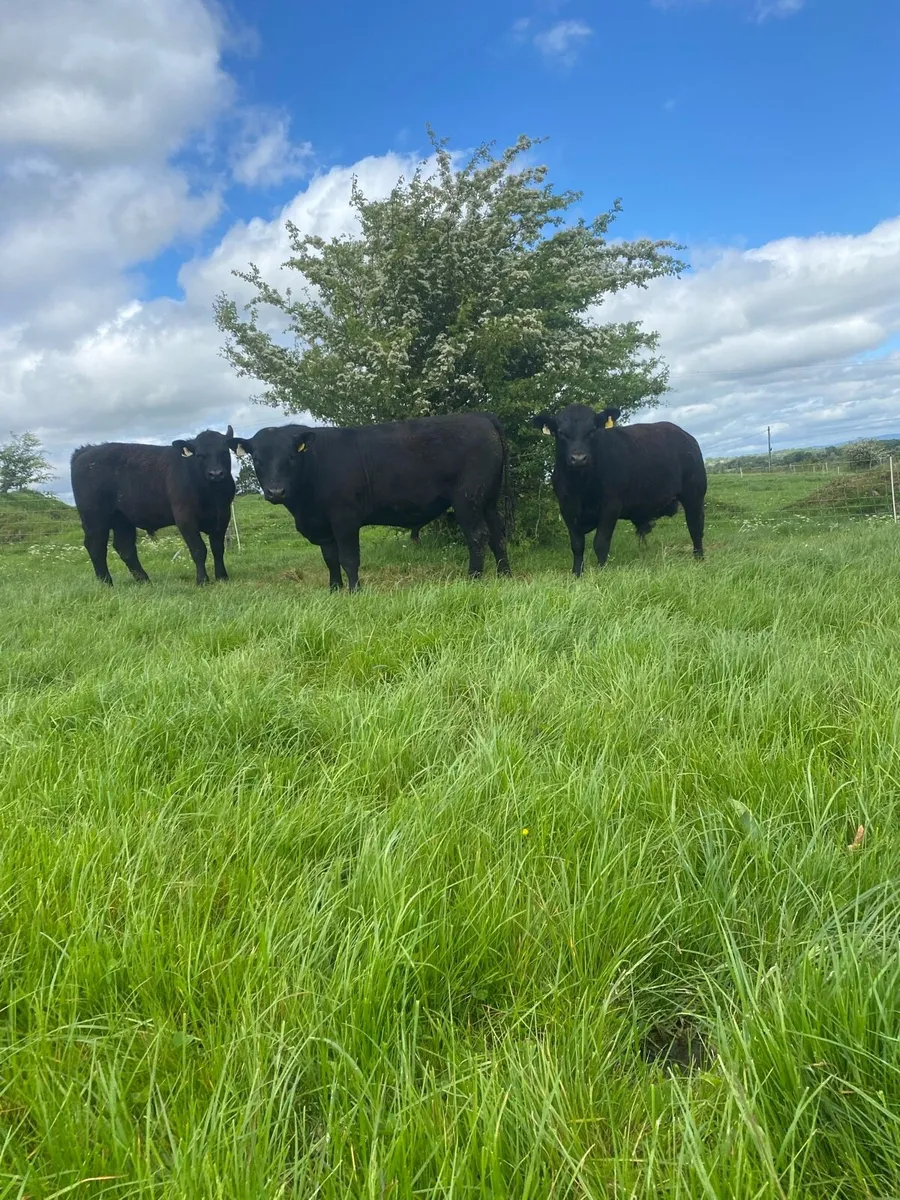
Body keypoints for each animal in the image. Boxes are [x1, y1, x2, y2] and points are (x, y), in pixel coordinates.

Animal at [70, 427, 236, 586]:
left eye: (224, 451)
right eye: (200, 455)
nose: (216, 473)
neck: (212, 495)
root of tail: (86, 450)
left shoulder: (223, 515)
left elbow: (217, 548)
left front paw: (222, 577)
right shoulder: (185, 518)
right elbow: (198, 549)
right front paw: (202, 580)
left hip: (122, 519)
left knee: (125, 547)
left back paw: (144, 580)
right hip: (94, 517)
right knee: (95, 546)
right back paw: (106, 582)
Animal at [230, 413, 512, 592]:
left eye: (290, 456)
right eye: (257, 460)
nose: (276, 491)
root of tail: (481, 416)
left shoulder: (344, 519)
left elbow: (348, 558)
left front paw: (355, 591)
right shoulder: (323, 526)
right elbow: (330, 559)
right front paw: (334, 591)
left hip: (467, 499)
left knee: (477, 535)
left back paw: (473, 578)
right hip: (489, 500)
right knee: (497, 535)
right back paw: (504, 575)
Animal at [532, 403, 707, 575]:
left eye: (592, 430)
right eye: (561, 433)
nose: (579, 458)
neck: (581, 487)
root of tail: (686, 436)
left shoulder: (611, 506)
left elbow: (600, 542)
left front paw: (601, 572)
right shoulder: (566, 508)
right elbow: (577, 545)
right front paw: (576, 574)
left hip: (694, 495)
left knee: (695, 527)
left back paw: (699, 559)